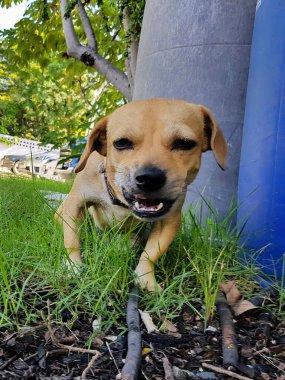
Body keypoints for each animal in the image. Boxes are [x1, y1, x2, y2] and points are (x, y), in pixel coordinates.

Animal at [55, 98, 226, 290]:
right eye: (122, 143)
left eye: (184, 143)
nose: (150, 178)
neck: (121, 202)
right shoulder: (75, 204)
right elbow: (71, 240)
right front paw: (73, 266)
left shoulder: (169, 220)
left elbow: (151, 253)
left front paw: (146, 278)